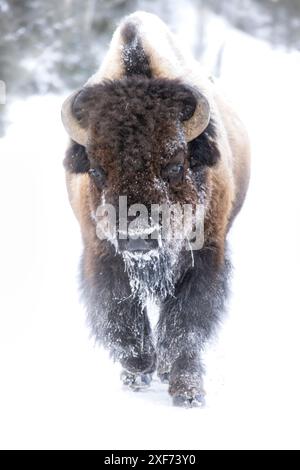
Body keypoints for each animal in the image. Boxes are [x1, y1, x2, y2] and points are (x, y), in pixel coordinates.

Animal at [61, 11, 251, 408]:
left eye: (175, 165)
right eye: (97, 171)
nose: (138, 238)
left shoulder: (206, 254)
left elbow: (186, 324)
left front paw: (188, 391)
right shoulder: (102, 253)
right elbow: (121, 314)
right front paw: (138, 367)